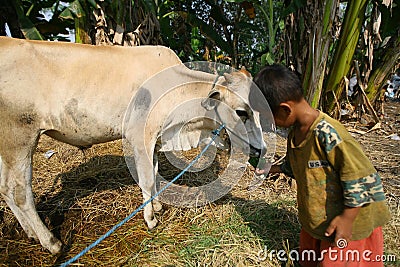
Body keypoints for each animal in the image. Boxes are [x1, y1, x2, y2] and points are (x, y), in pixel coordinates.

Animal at [0, 36, 268, 254]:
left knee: (6, 189)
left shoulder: (155, 139)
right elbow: (148, 179)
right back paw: (51, 242)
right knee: (21, 193)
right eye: (241, 112)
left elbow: (156, 172)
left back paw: (31, 233)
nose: (261, 149)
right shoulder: (140, 137)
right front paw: (150, 219)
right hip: (20, 139)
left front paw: (157, 206)